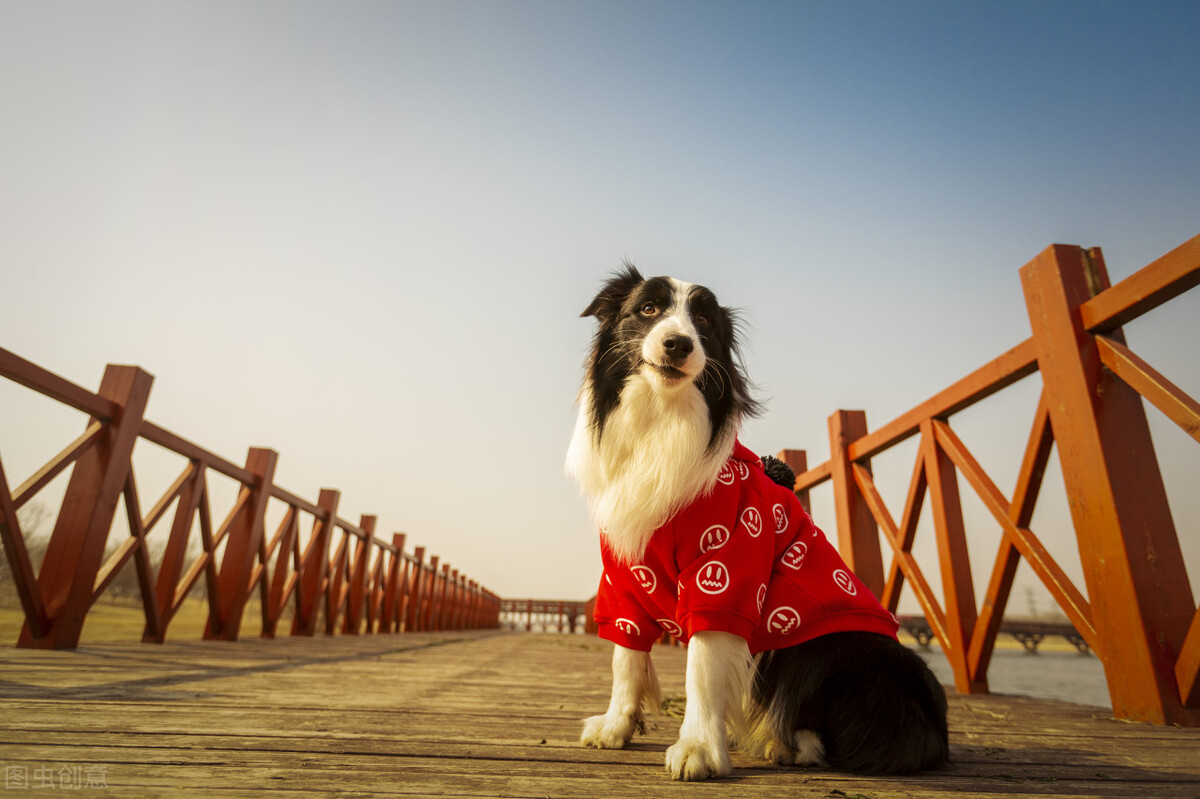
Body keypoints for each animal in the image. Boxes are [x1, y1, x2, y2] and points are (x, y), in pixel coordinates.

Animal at [564, 262, 945, 777]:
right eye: (648, 309)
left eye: (704, 323)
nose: (678, 344)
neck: (663, 422)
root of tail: (932, 725)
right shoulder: (626, 575)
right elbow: (625, 656)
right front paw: (616, 726)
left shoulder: (726, 569)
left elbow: (702, 667)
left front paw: (699, 749)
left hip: (835, 644)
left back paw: (790, 744)